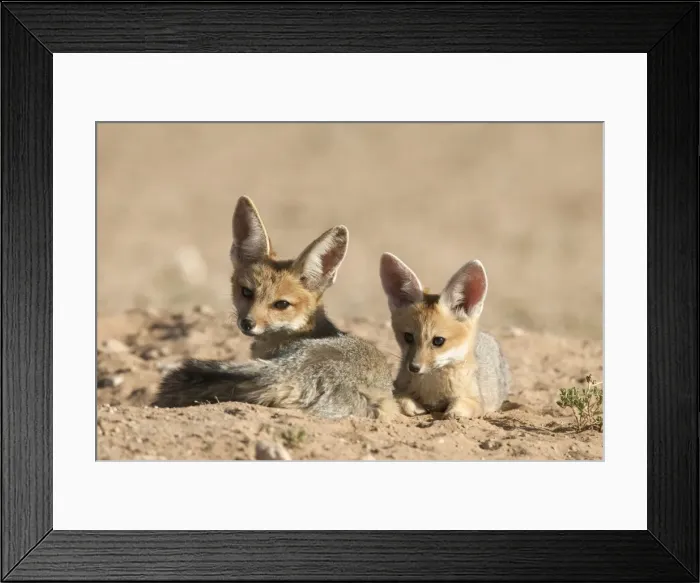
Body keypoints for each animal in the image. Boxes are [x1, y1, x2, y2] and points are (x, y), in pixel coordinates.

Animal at [379, 252, 511, 420]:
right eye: (408, 337)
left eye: (438, 341)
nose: (414, 367)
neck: (433, 390)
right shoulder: (397, 386)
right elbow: (399, 396)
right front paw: (413, 405)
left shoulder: (476, 401)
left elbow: (461, 406)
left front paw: (454, 411)